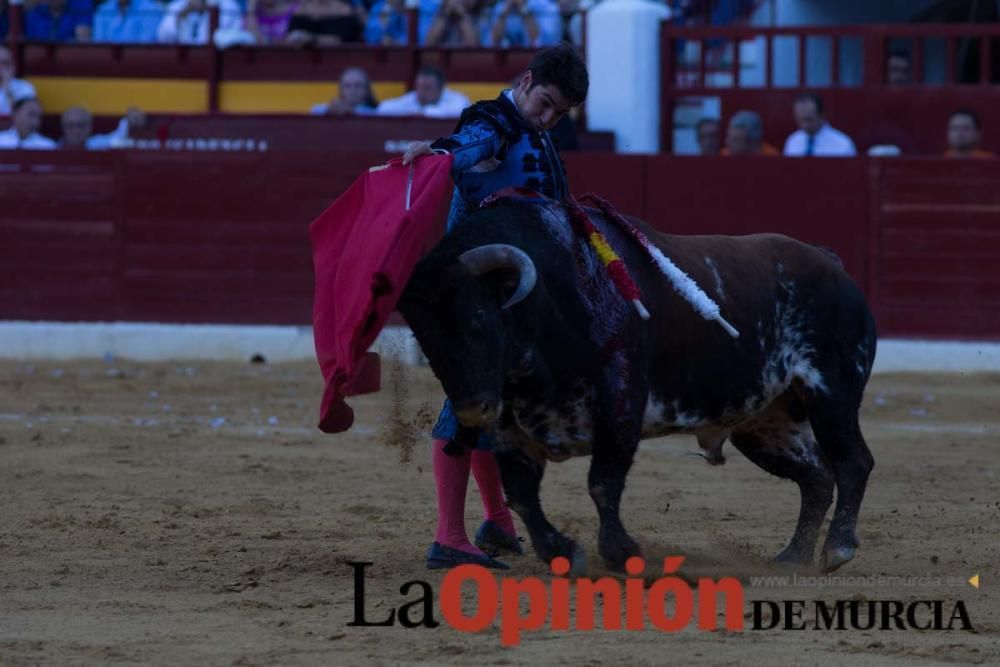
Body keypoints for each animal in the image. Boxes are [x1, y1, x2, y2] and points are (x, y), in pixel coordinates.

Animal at [396, 197, 876, 576]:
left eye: (478, 315)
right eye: (422, 333)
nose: (471, 409)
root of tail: (830, 263)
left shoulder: (620, 405)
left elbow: (602, 482)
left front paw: (621, 552)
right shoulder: (512, 427)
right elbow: (522, 495)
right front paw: (563, 553)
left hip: (831, 392)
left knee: (853, 462)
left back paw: (837, 548)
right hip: (766, 424)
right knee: (816, 476)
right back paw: (794, 556)